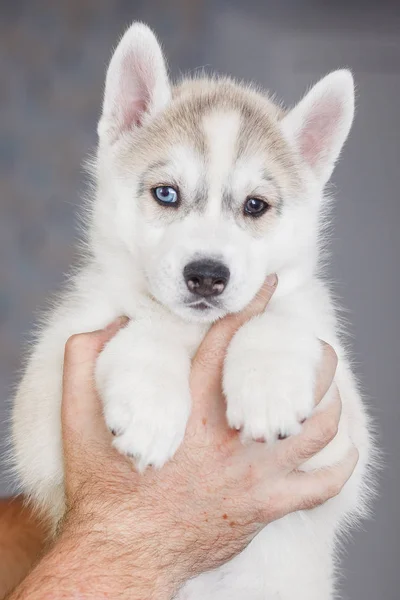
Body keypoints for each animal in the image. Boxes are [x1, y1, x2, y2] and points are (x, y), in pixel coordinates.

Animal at [11, 22, 372, 600]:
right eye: (166, 194)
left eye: (255, 205)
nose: (206, 274)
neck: (197, 331)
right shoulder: (41, 419)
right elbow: (146, 325)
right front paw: (150, 407)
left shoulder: (343, 449)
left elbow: (272, 316)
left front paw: (267, 389)